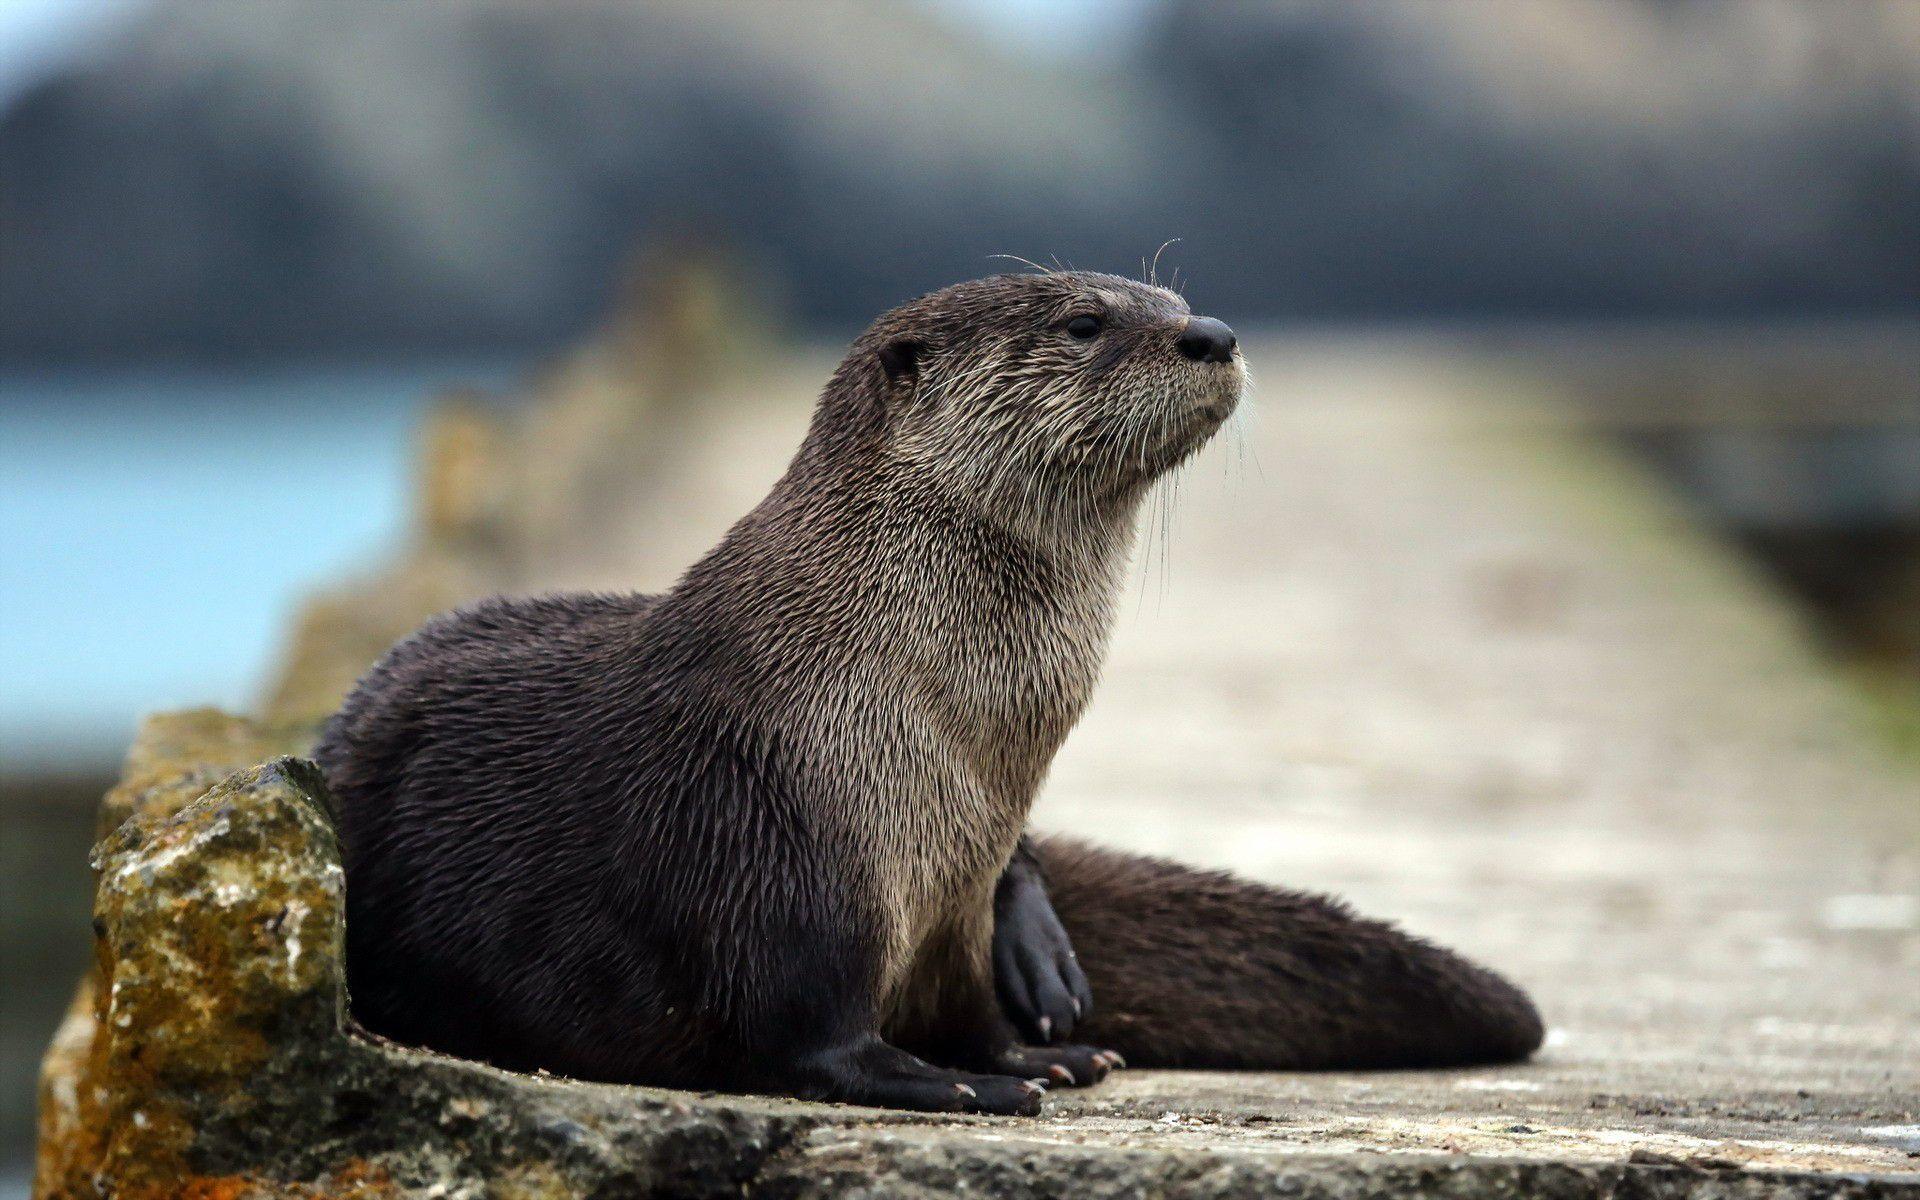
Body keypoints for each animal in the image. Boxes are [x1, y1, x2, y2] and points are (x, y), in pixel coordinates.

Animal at [317, 271, 1542, 1116]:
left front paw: (1034, 1050)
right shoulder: (773, 838)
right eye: (1084, 321)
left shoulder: (955, 889)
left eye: (1173, 298)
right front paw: (954, 1084)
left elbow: (969, 1004)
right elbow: (805, 1037)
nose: (1215, 333)